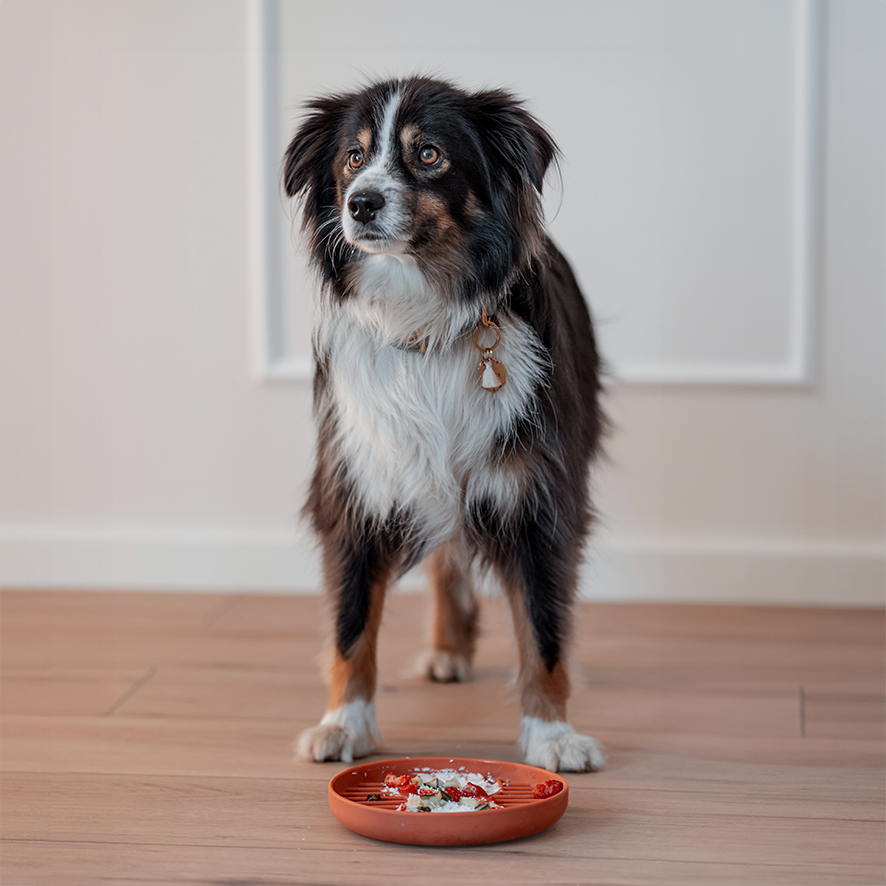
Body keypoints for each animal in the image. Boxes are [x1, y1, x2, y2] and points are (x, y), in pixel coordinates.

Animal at [284, 76, 612, 772]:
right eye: (353, 157)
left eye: (429, 153)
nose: (360, 203)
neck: (424, 320)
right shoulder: (359, 481)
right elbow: (351, 622)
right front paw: (342, 724)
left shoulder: (537, 493)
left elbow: (543, 628)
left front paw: (553, 734)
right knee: (445, 557)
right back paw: (446, 648)